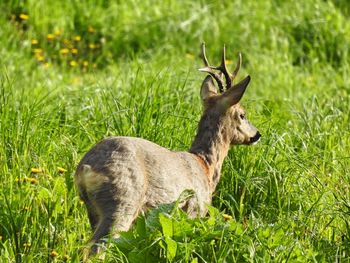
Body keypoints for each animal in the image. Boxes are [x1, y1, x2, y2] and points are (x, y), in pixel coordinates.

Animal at [75, 43, 262, 258]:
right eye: (242, 114)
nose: (257, 134)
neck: (204, 165)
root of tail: (85, 168)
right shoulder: (194, 209)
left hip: (93, 210)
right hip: (121, 200)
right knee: (95, 250)